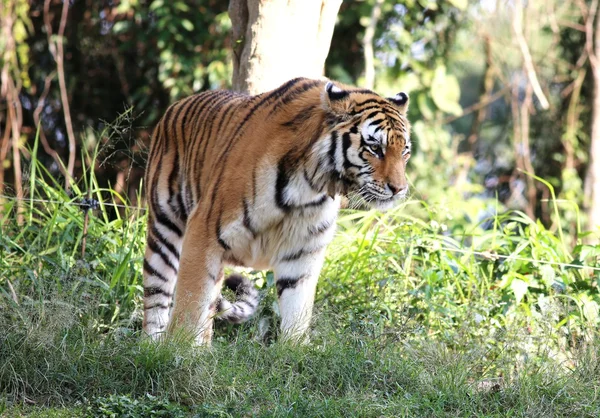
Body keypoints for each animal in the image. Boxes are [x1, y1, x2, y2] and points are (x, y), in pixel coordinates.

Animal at [143, 76, 410, 344]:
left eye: (405, 151)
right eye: (375, 148)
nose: (399, 189)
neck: (311, 185)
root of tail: (177, 104)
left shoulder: (303, 251)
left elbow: (297, 311)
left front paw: (294, 350)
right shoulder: (203, 232)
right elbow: (190, 303)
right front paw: (179, 349)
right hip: (165, 229)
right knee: (157, 294)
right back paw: (153, 345)